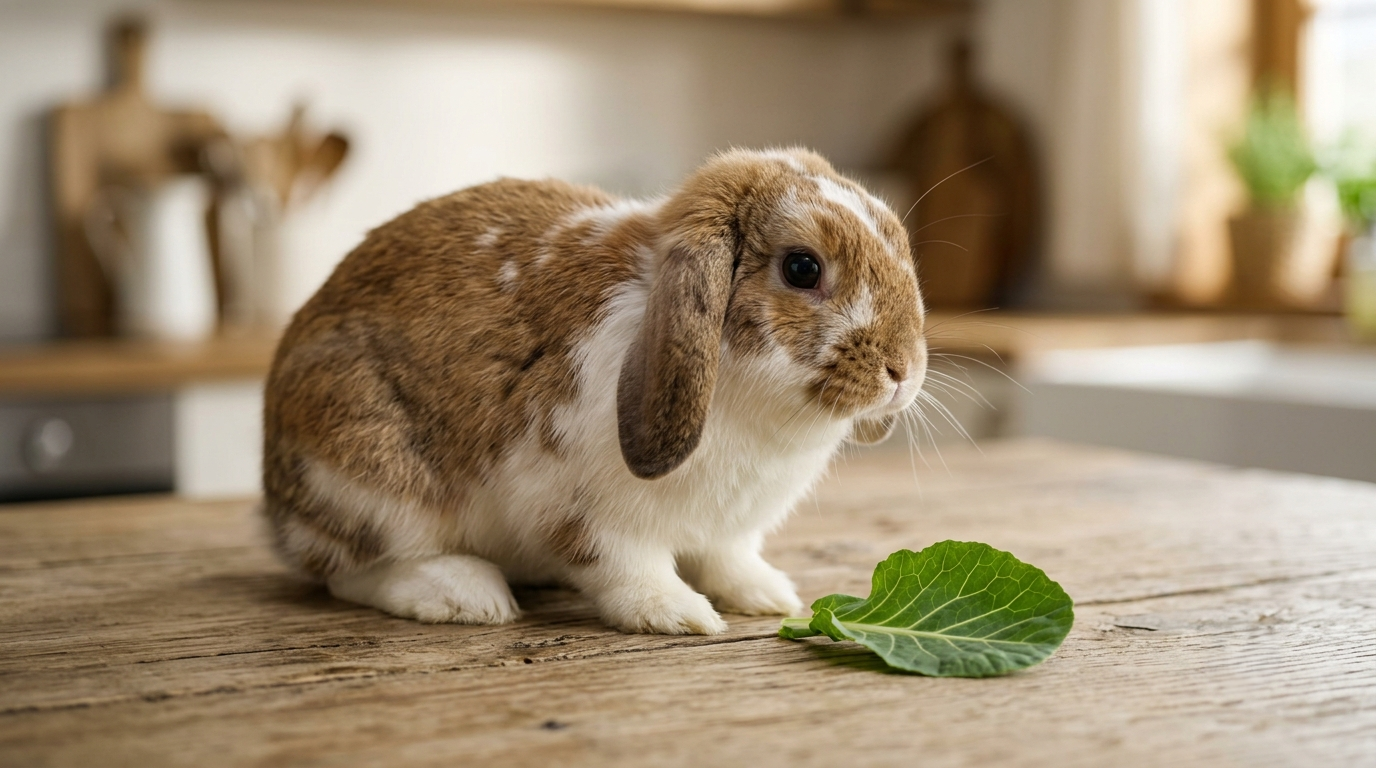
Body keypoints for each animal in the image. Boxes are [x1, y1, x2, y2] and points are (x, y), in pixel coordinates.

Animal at [262, 147, 928, 635]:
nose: (903, 370)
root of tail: (276, 509)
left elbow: (729, 560)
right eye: (802, 268)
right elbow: (623, 567)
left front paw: (769, 595)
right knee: (350, 570)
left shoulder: (729, 530)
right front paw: (678, 615)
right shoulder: (583, 508)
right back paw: (467, 596)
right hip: (370, 474)